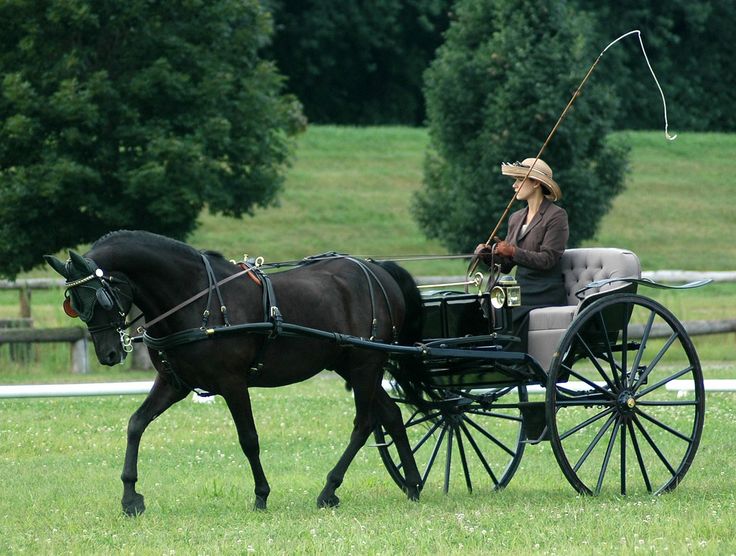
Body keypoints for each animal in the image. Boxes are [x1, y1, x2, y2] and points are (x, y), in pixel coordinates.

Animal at [46, 231, 426, 516]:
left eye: (100, 297)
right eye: (73, 304)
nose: (109, 354)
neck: (194, 298)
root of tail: (377, 269)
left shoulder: (232, 383)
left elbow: (249, 439)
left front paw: (261, 494)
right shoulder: (173, 383)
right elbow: (136, 424)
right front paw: (130, 497)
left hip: (365, 365)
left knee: (364, 424)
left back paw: (329, 489)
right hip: (354, 366)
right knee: (391, 416)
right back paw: (412, 483)